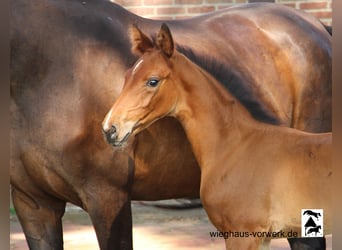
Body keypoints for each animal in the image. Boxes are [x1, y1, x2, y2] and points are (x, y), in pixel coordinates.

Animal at [102, 24, 332, 249]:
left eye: (152, 81)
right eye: (126, 76)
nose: (109, 128)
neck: (237, 146)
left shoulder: (242, 234)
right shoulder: (261, 238)